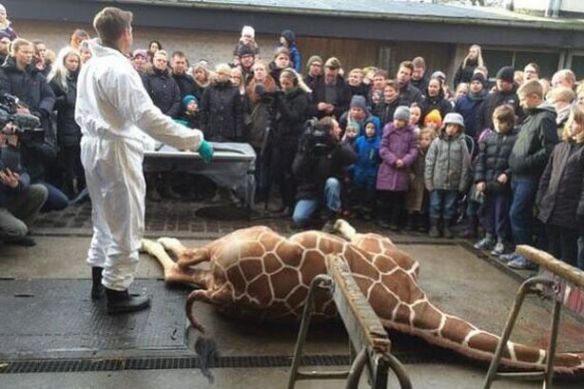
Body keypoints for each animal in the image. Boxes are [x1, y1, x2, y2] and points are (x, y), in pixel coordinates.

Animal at [140, 220, 584, 374]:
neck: (409, 308)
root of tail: (226, 291)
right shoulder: (391, 251)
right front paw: (337, 221)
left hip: (229, 251)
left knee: (181, 264)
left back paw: (151, 239)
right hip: (226, 255)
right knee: (182, 264)